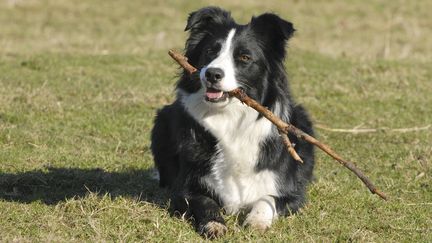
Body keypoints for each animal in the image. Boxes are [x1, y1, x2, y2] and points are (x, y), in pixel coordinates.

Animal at [151, 6, 314, 238]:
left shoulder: (291, 193)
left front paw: (256, 222)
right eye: (211, 51)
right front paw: (214, 224)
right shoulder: (184, 189)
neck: (231, 119)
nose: (212, 74)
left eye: (245, 57)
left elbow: (267, 199)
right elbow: (205, 201)